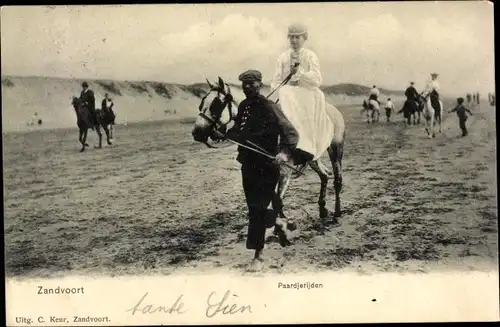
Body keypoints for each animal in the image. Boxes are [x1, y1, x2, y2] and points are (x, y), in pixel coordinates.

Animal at [189, 77, 346, 236]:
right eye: (202, 102)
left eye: (216, 104)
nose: (197, 132)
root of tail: (334, 111)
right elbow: (269, 198)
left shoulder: (285, 168)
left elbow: (277, 199)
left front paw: (281, 227)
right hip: (313, 158)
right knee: (324, 175)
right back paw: (322, 210)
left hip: (335, 149)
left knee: (337, 179)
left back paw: (337, 212)